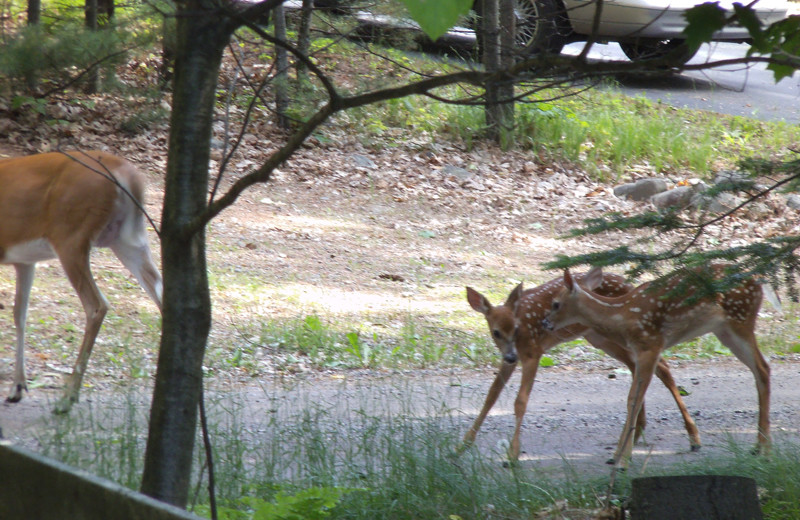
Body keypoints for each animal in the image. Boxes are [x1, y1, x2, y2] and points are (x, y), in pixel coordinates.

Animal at [0, 150, 164, 414]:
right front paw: (17, 388)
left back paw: (67, 398)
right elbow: (20, 315)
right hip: (129, 238)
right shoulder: (25, 261)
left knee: (97, 305)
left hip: (71, 236)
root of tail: (126, 172)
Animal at [462, 274, 700, 462]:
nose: (511, 356)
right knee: (638, 369)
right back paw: (637, 432)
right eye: (495, 332)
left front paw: (512, 455)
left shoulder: (533, 352)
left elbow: (520, 401)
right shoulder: (508, 360)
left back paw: (693, 438)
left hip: (622, 336)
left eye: (516, 328)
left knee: (662, 367)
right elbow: (491, 395)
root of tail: (629, 284)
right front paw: (463, 444)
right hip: (600, 338)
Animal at [544, 266, 768, 470]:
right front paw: (616, 456)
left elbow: (633, 399)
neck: (621, 315)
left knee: (762, 367)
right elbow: (635, 397)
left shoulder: (649, 345)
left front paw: (622, 461)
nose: (545, 323)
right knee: (761, 369)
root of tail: (758, 281)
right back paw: (760, 447)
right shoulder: (638, 351)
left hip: (740, 318)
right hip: (724, 330)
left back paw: (763, 447)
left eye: (556, 303)